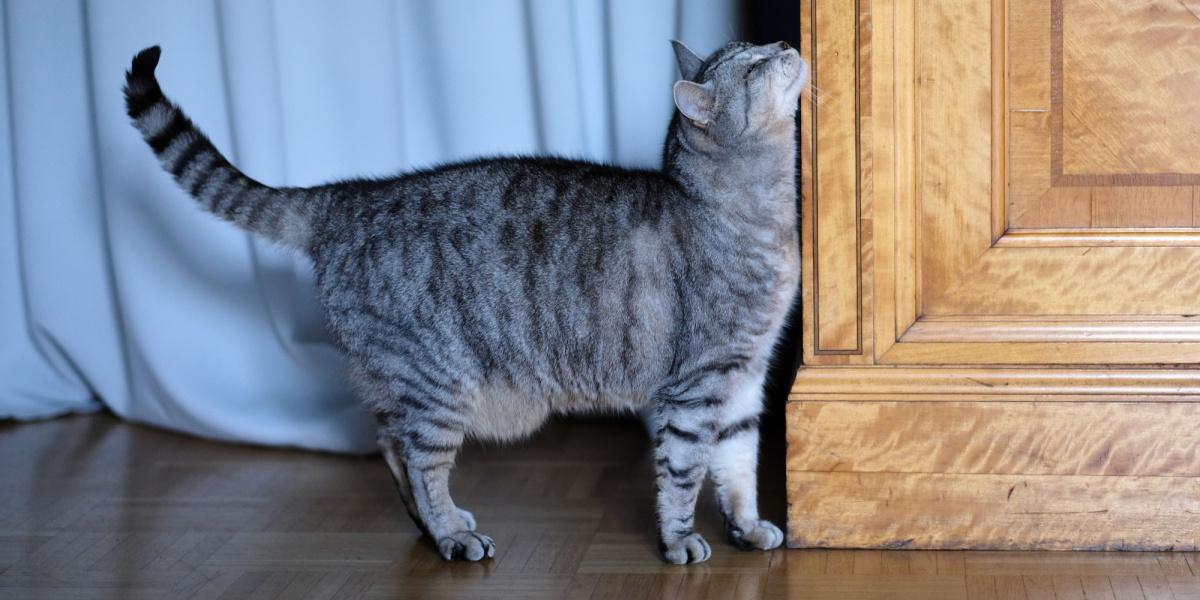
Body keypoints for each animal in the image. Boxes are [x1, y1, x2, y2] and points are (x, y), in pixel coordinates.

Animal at [124, 39, 806, 564]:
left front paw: (747, 525)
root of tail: (346, 197)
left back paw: (435, 528)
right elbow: (685, 472)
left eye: (760, 48)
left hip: (404, 380)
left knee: (390, 441)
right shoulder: (696, 385)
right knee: (418, 459)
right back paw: (450, 532)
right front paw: (680, 539)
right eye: (752, 66)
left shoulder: (745, 376)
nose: (786, 42)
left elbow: (738, 462)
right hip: (439, 381)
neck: (766, 220)